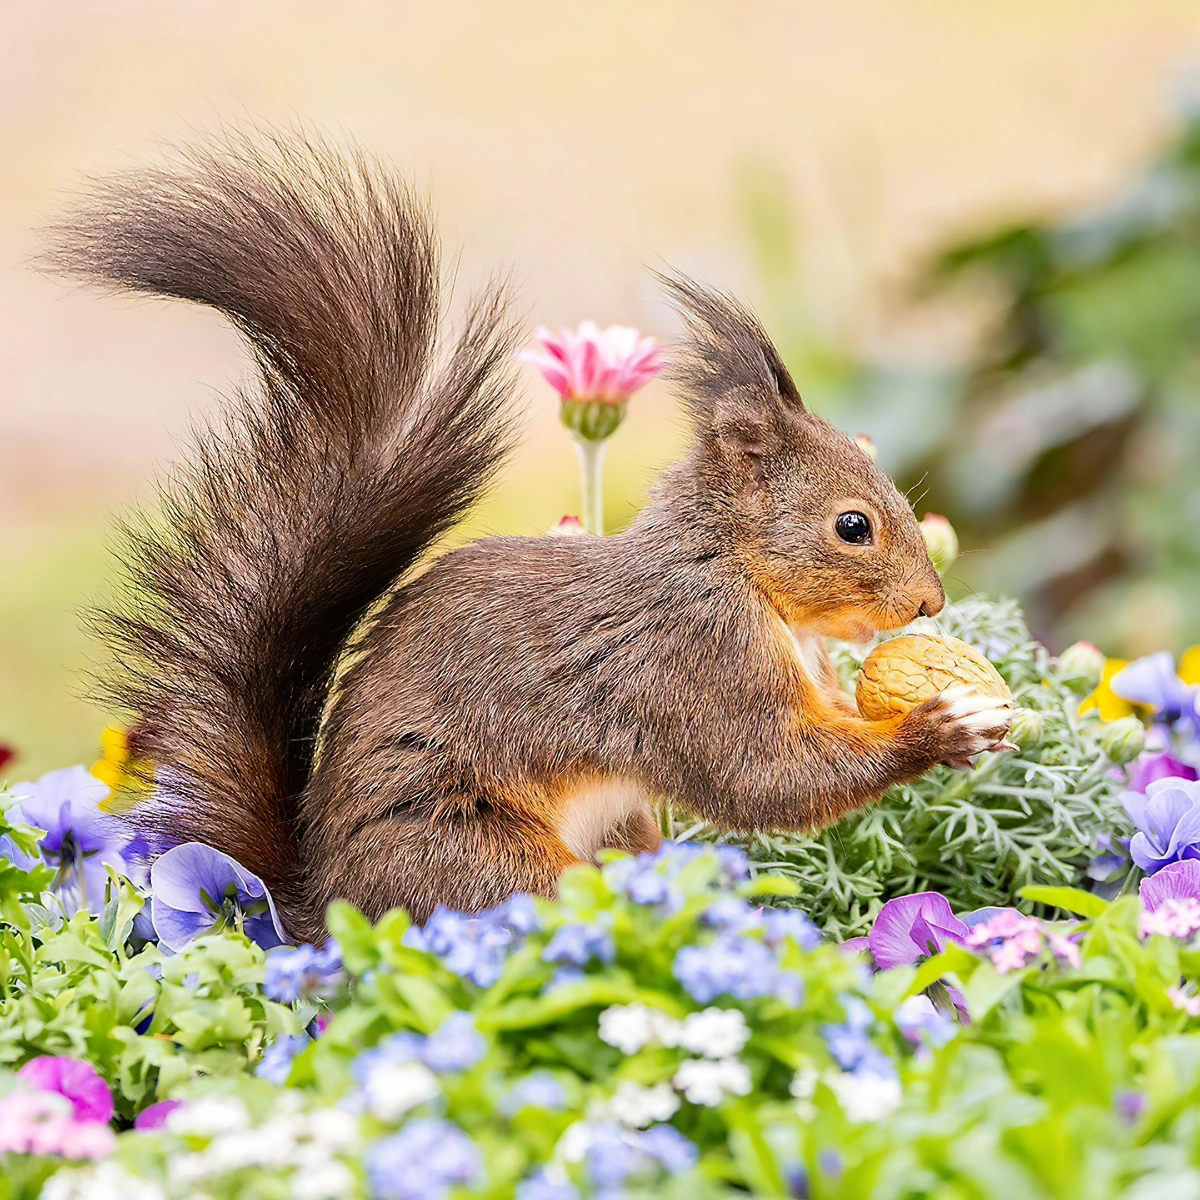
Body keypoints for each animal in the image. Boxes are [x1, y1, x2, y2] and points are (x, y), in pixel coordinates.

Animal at [44, 129, 1012, 936]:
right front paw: (940, 729)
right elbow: (763, 774)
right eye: (853, 526)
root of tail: (328, 909)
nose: (930, 605)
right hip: (485, 858)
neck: (740, 575)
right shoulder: (693, 659)